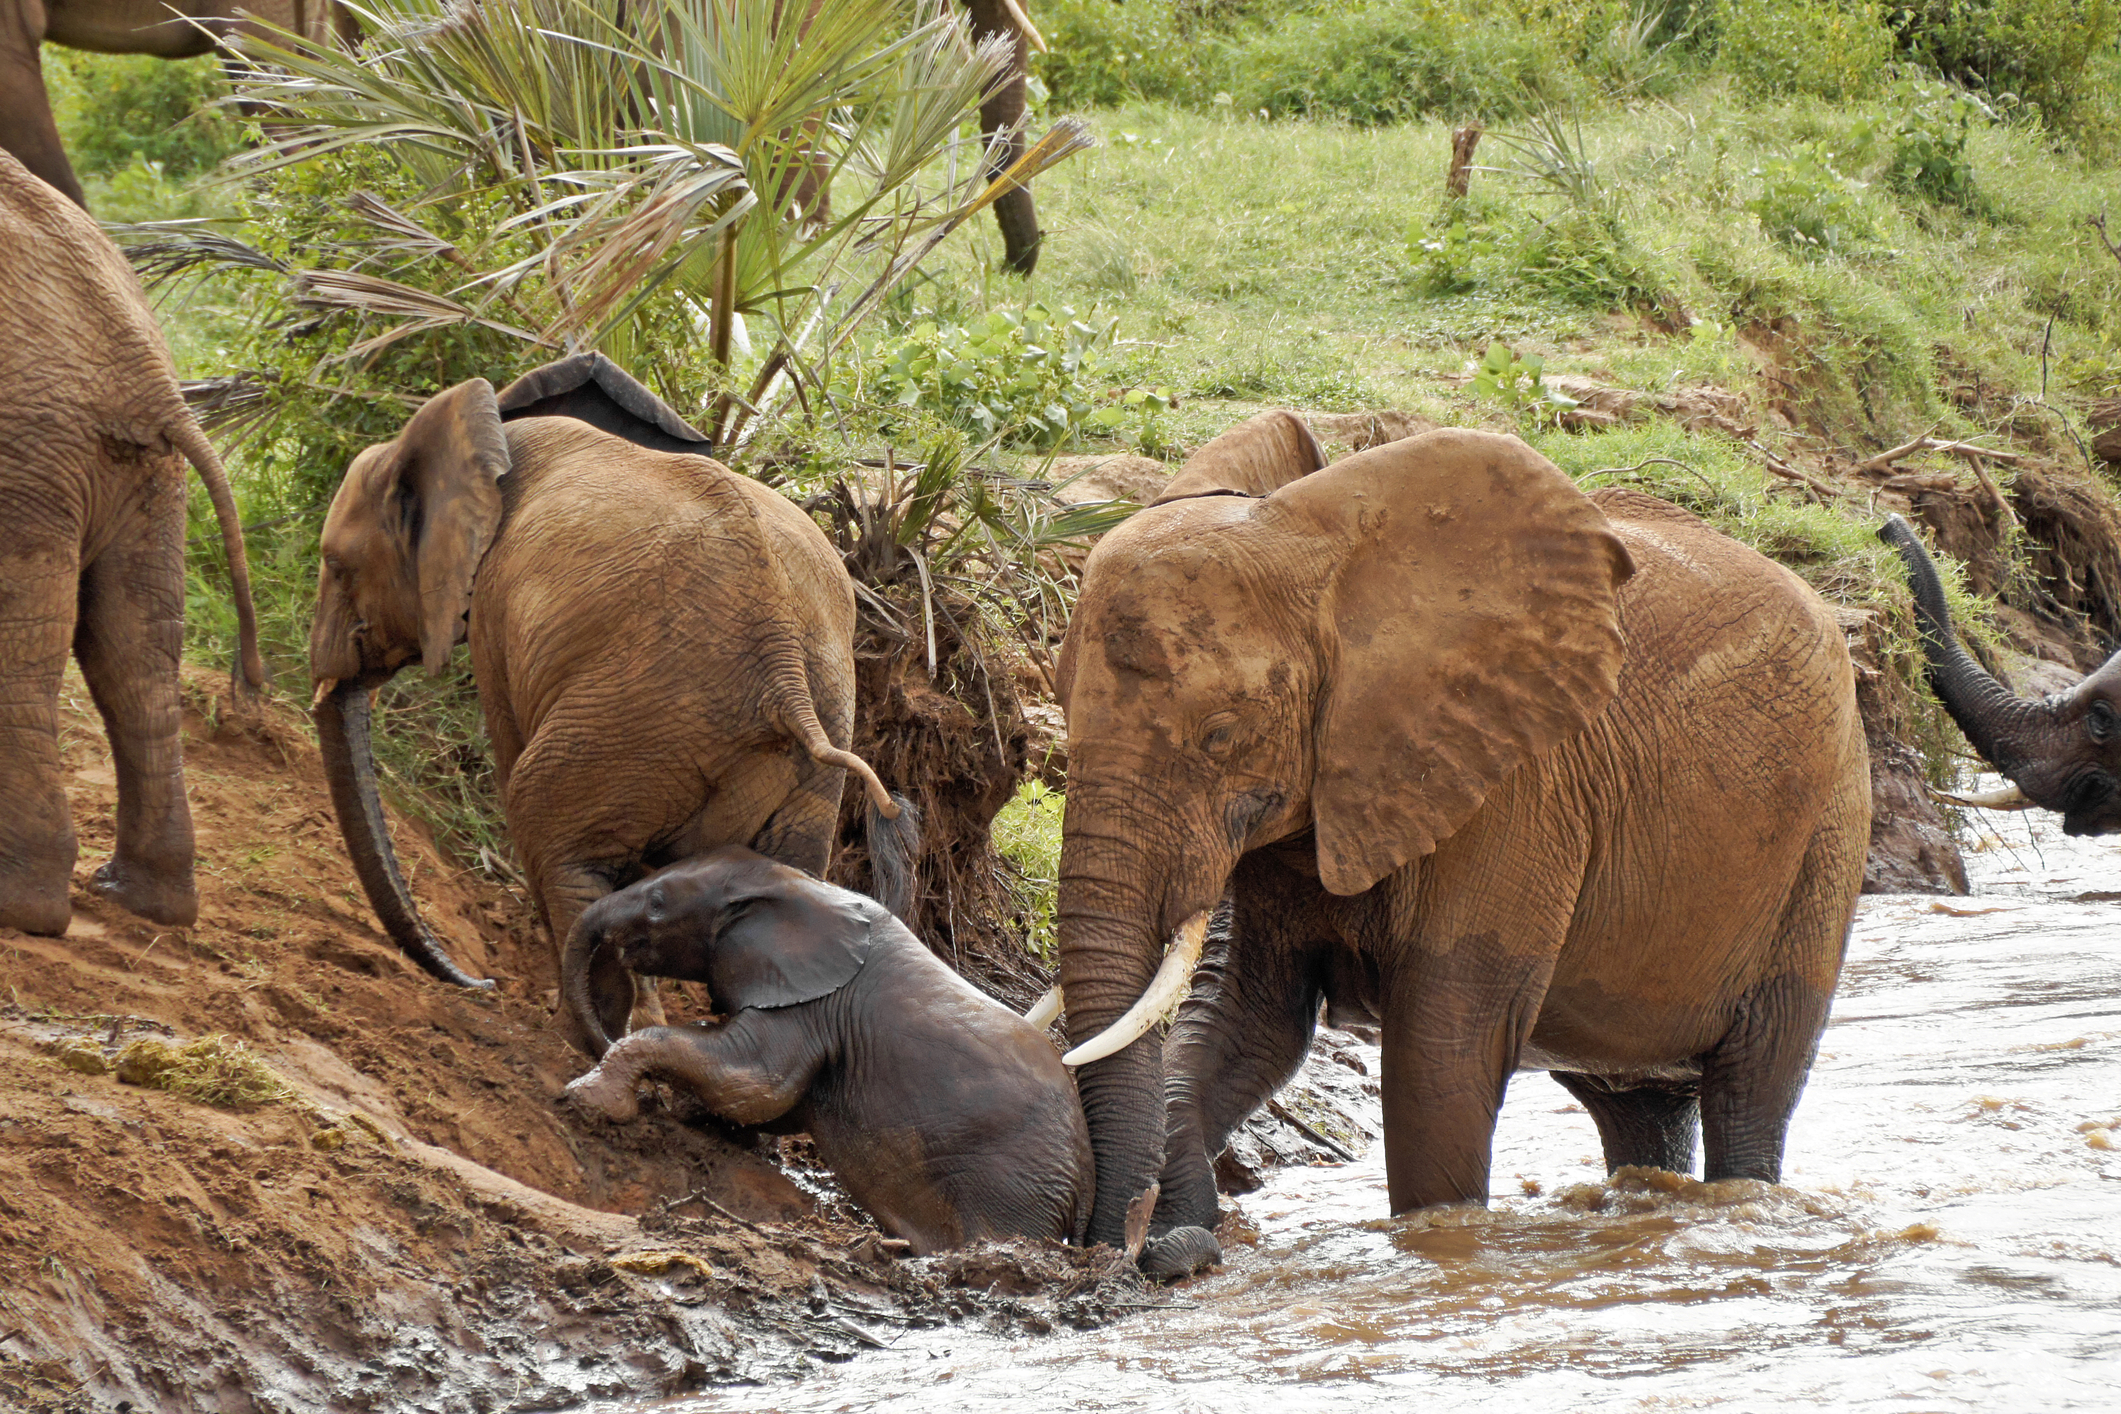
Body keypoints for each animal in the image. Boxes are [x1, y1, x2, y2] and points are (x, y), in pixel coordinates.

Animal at [0, 149, 264, 935]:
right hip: (146, 476)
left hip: (26, 459)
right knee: (134, 647)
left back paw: (24, 908)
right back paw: (144, 900)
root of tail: (139, 374)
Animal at [305, 354, 914, 1048]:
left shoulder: (493, 615)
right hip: (797, 746)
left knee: (550, 829)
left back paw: (575, 1038)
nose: (481, 983)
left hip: (639, 719)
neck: (492, 435)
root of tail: (783, 667)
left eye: (337, 566)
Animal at [563, 846, 1093, 1252]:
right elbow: (773, 1097)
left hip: (1011, 1186)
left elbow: (755, 1082)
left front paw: (588, 1099)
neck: (801, 887)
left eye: (657, 903)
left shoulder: (810, 1005)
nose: (599, 1036)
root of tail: (1086, 1180)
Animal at [1039, 414, 1871, 1275]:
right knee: (1638, 1108)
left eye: (1220, 734)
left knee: (1752, 1085)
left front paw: (1439, 1244)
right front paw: (1182, 1235)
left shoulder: (1516, 783)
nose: (1125, 1248)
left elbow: (1439, 1054)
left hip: (1827, 827)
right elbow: (1243, 1021)